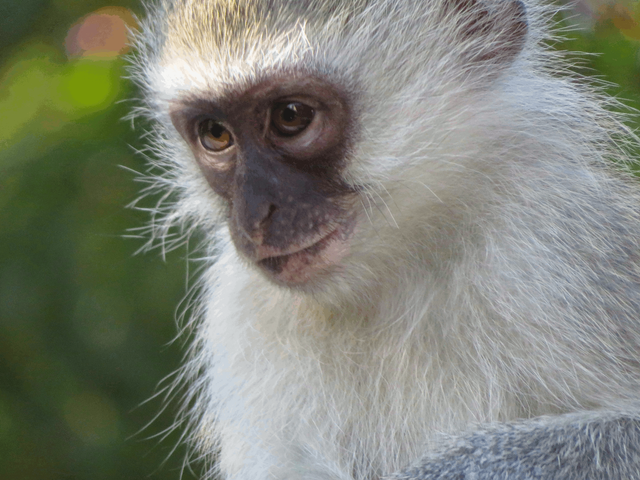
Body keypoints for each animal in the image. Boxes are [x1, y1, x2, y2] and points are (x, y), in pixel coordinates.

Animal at [130, 0, 640, 478]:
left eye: (291, 116)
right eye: (215, 134)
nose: (254, 216)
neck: (398, 265)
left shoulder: (558, 245)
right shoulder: (242, 308)